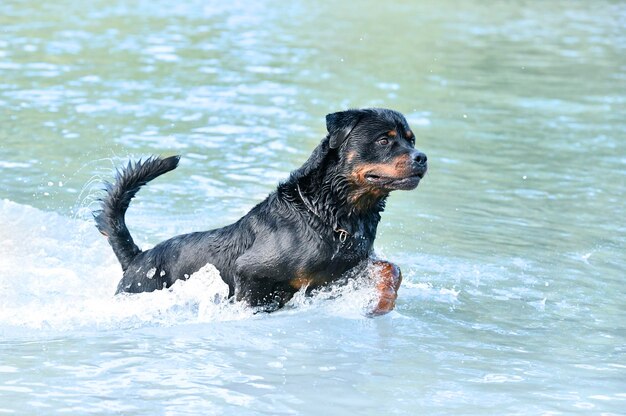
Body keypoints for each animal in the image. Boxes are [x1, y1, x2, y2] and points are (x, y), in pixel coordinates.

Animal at [95, 109, 426, 314]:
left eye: (411, 140)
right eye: (383, 140)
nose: (421, 157)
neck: (328, 212)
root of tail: (137, 258)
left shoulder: (351, 267)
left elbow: (392, 270)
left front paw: (381, 306)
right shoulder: (250, 272)